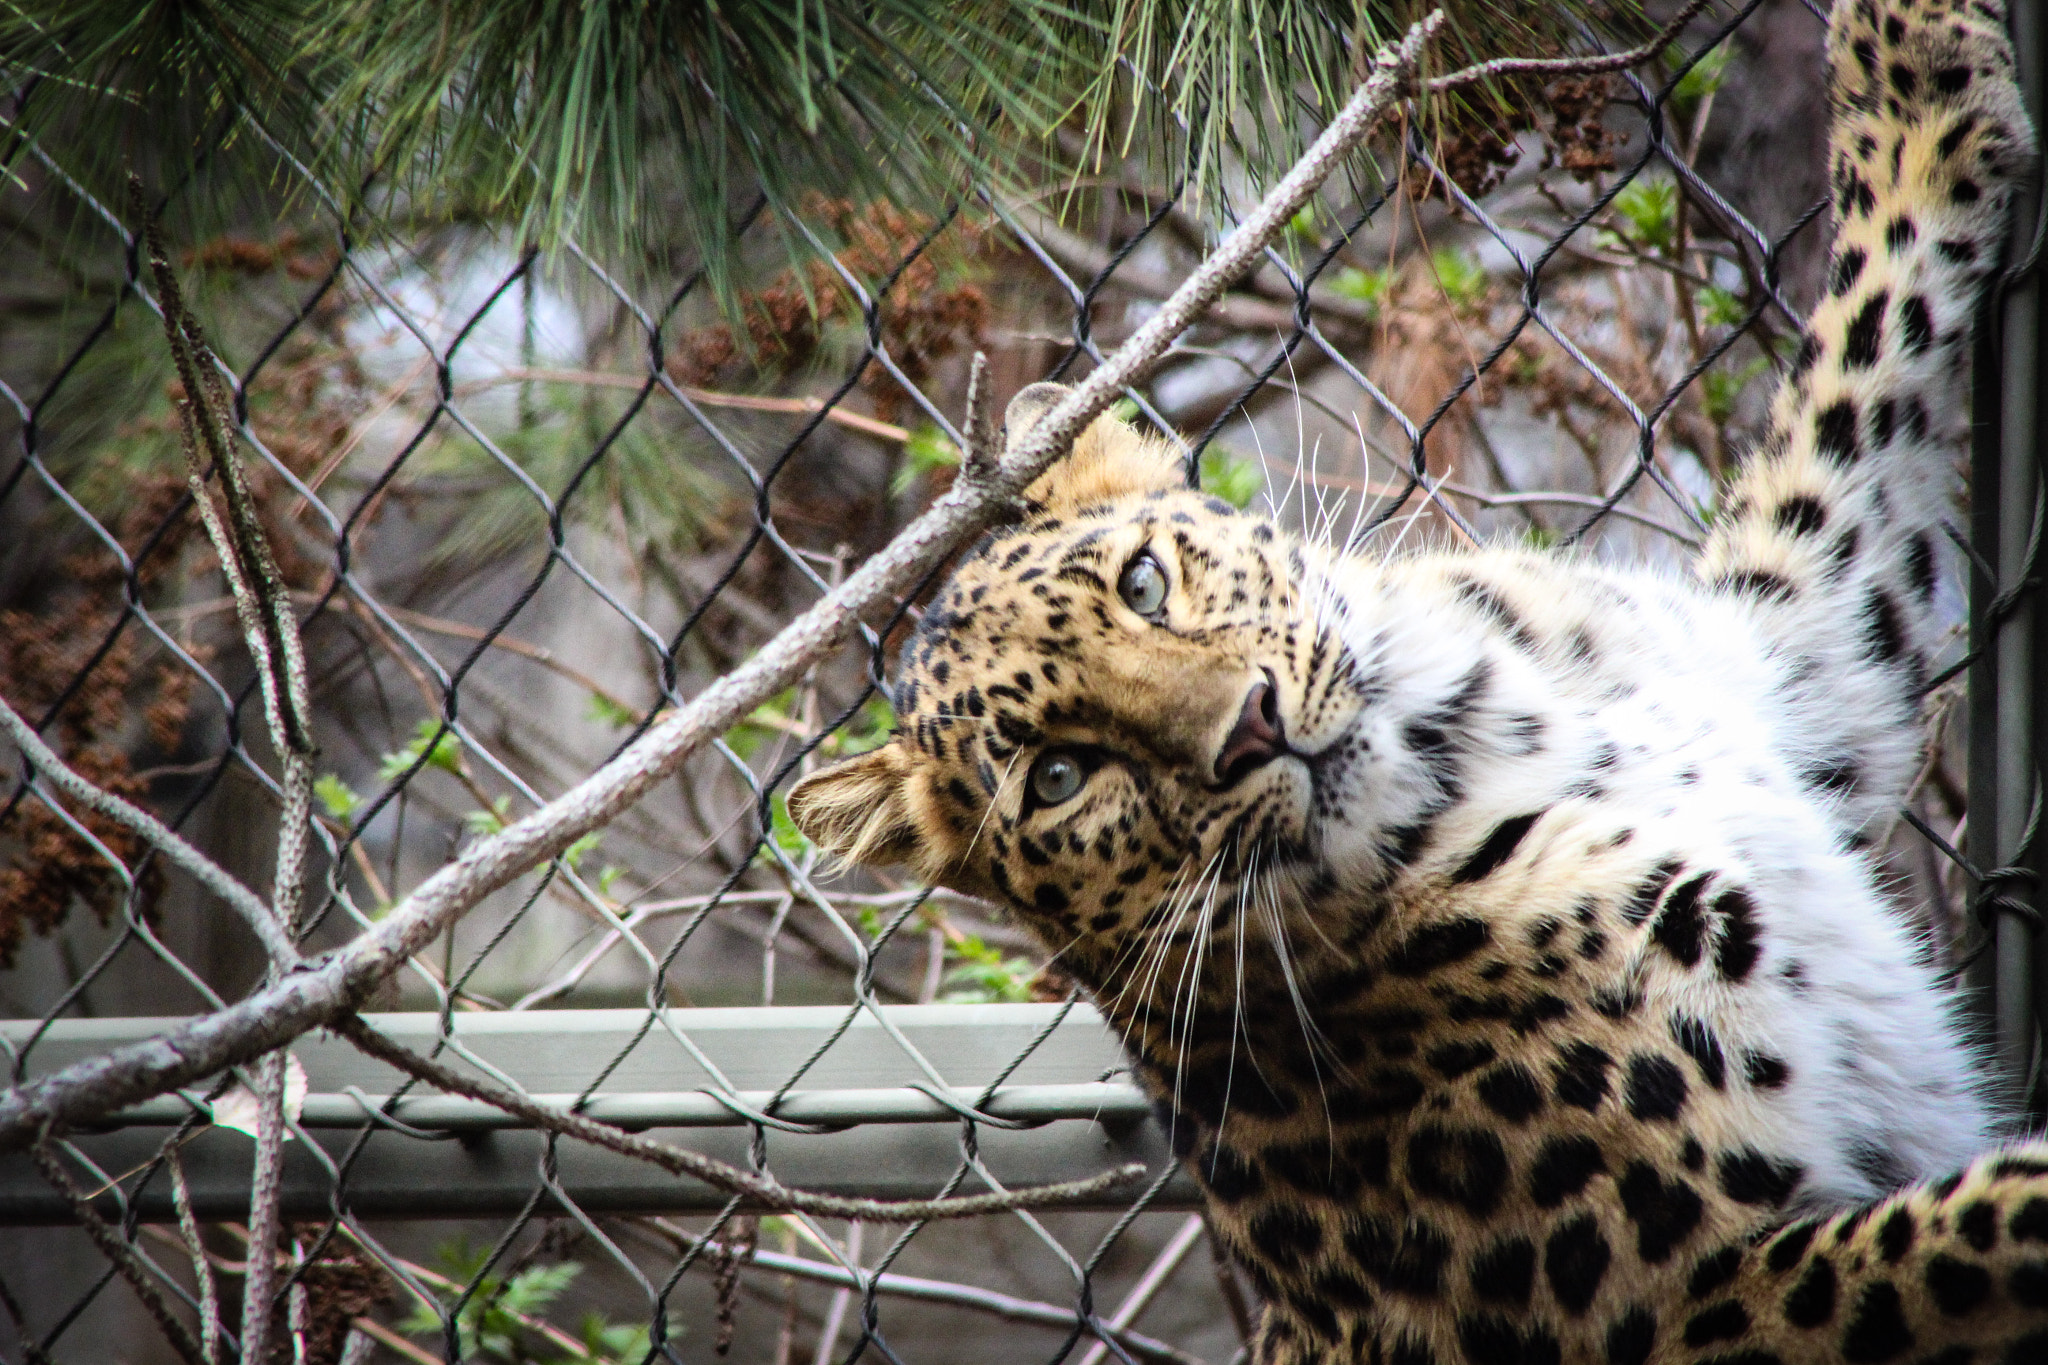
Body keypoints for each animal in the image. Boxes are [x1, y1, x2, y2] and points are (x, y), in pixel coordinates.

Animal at [787, 1, 2048, 1361]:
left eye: (1143, 582)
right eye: (1061, 778)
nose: (1248, 729)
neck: (1483, 728)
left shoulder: (1803, 659)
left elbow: (1862, 367)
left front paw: (1911, 62)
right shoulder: (1696, 1295)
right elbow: (1956, 1230)